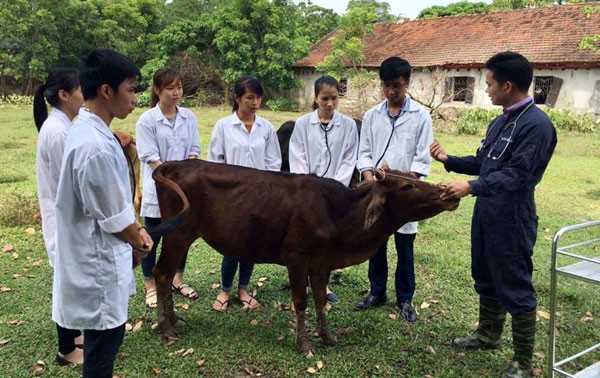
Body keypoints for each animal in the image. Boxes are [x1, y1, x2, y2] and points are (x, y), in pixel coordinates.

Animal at [151, 159, 460, 352]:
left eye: (413, 177)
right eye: (406, 186)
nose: (448, 193)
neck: (338, 213)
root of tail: (173, 164)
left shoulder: (321, 263)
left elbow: (321, 300)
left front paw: (327, 336)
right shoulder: (295, 258)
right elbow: (301, 302)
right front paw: (303, 344)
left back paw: (174, 320)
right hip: (178, 234)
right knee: (162, 273)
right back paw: (166, 327)